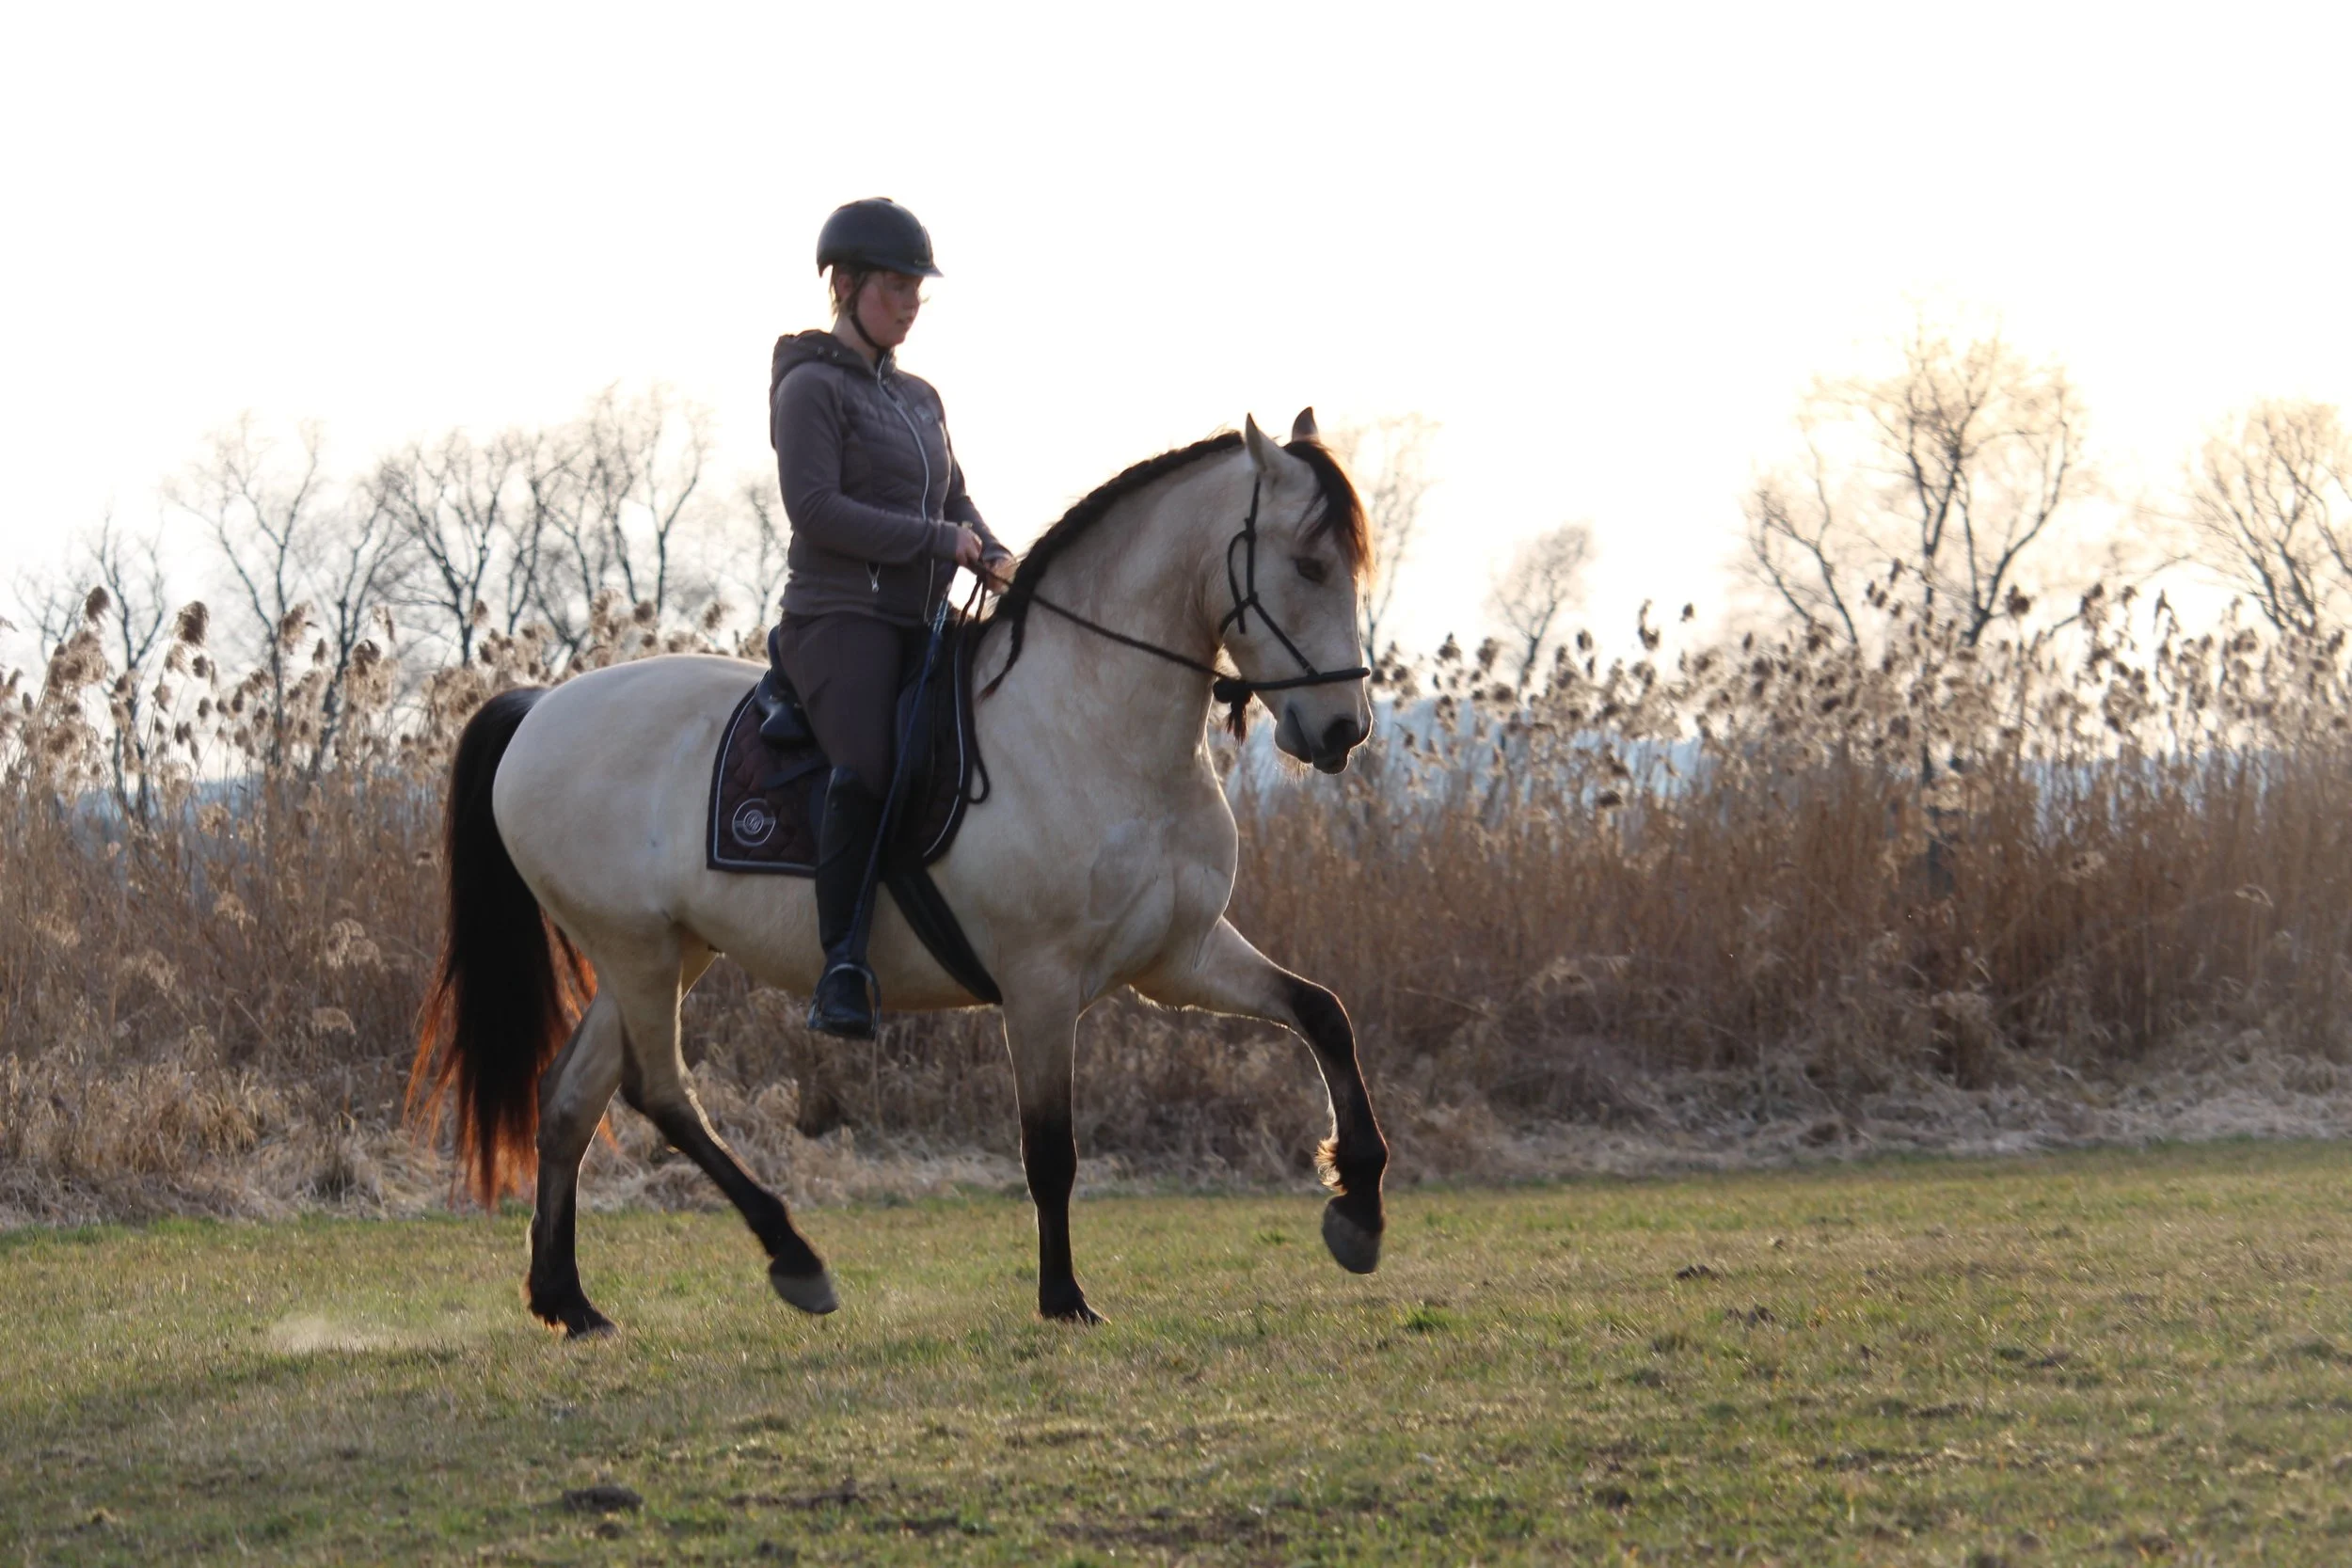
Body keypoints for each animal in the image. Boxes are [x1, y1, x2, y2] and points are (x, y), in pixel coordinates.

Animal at [410, 409, 1386, 1335]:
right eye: (1307, 566)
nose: (1343, 729)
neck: (1091, 719)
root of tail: (541, 705)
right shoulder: (1040, 982)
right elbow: (1050, 1148)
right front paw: (1063, 1295)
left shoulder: (1179, 957)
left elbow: (1322, 1014)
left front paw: (1360, 1207)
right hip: (637, 950)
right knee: (660, 1091)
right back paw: (793, 1257)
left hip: (662, 953)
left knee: (573, 1098)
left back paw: (569, 1300)